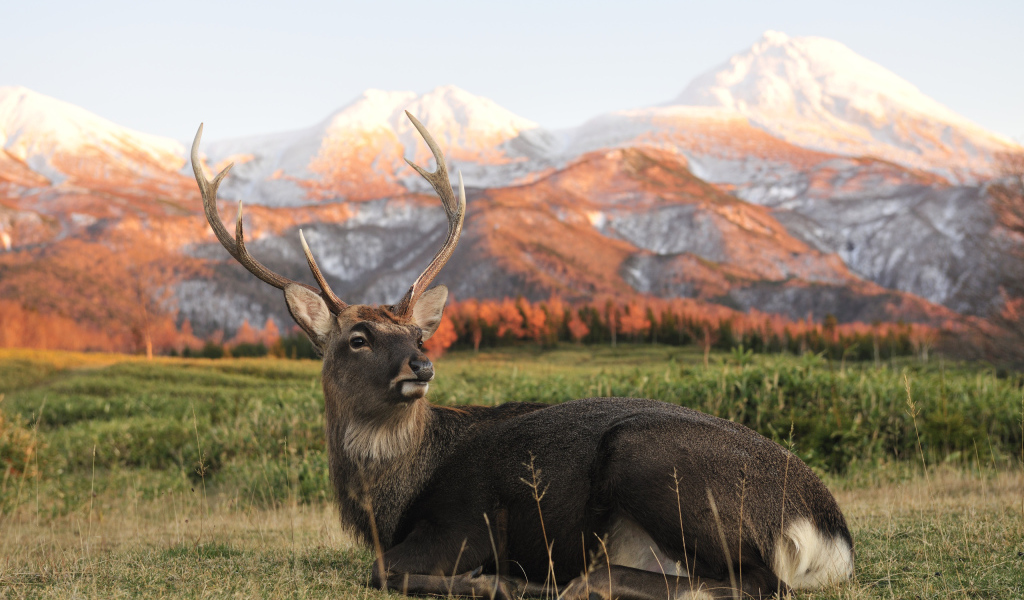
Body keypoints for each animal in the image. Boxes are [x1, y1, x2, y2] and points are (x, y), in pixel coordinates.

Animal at [190, 112, 853, 600]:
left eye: (419, 337)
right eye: (359, 338)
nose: (421, 368)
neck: (388, 503)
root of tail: (829, 532)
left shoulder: (464, 523)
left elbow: (383, 571)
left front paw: (491, 579)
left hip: (651, 460)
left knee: (752, 582)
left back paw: (558, 581)